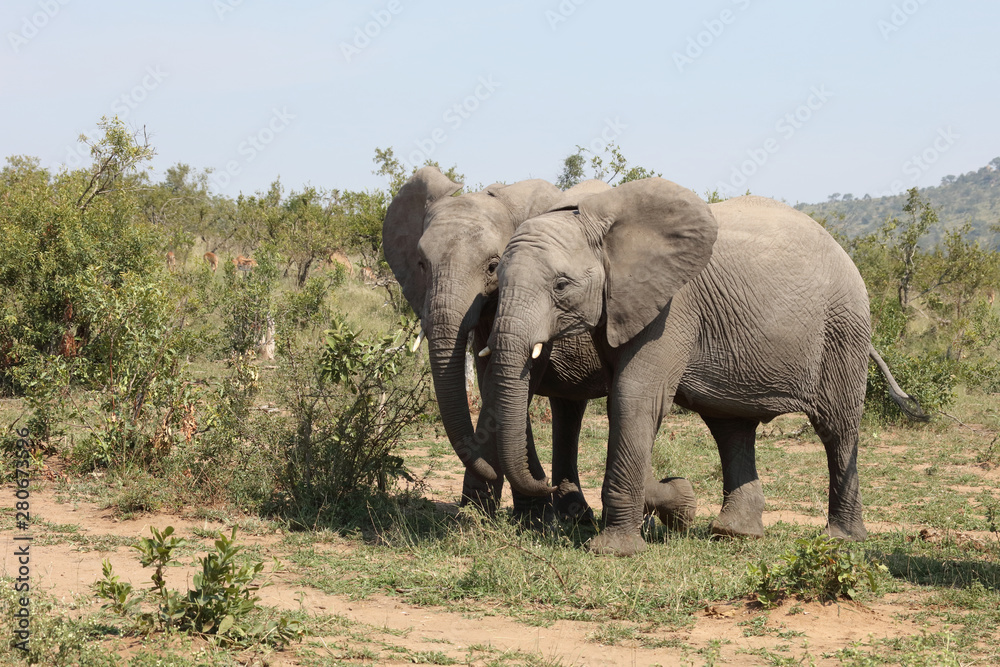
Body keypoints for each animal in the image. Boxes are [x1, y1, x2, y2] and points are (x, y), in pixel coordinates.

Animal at [476, 177, 925, 556]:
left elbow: (634, 399)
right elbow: (631, 402)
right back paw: (734, 534)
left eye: (561, 286)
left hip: (843, 329)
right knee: (731, 428)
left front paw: (614, 550)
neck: (600, 219)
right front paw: (674, 502)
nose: (548, 484)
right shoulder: (620, 305)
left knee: (838, 429)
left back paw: (841, 539)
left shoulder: (672, 308)